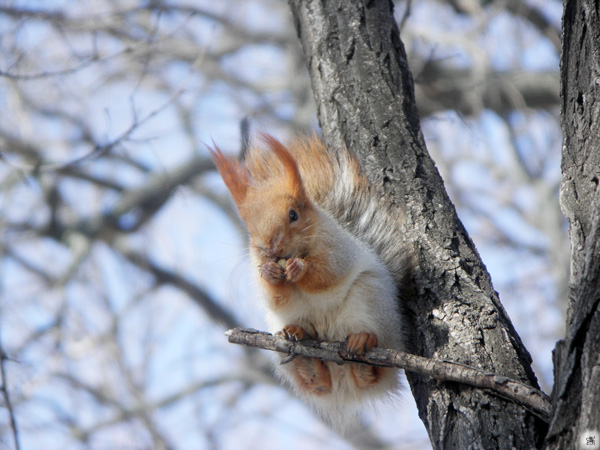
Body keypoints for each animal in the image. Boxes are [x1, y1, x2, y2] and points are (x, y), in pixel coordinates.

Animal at [211, 134, 408, 428]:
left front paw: (299, 268)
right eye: (250, 230)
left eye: (293, 215)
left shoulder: (337, 249)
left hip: (370, 301)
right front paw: (270, 273)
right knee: (319, 380)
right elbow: (274, 296)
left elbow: (326, 274)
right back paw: (305, 352)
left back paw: (362, 345)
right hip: (281, 326)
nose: (270, 249)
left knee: (371, 367)